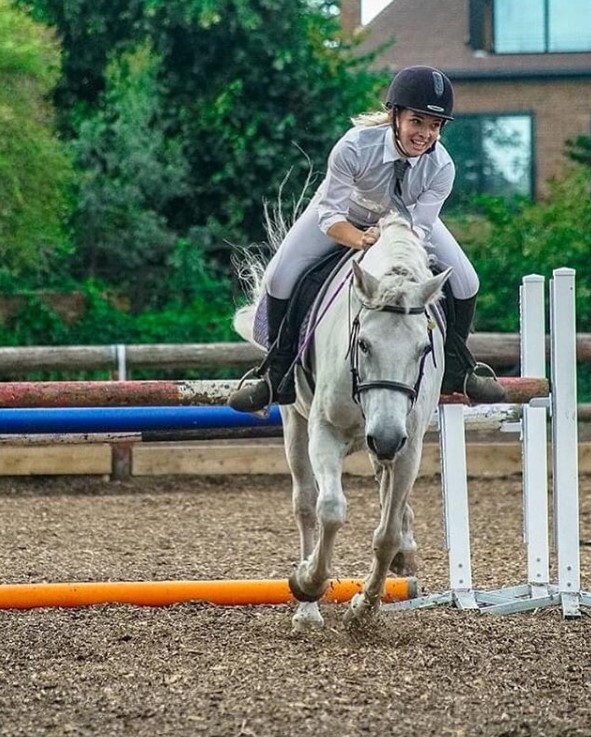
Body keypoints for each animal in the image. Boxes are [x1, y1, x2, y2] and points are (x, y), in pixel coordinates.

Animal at [232, 211, 450, 631]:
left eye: (423, 349)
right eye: (363, 343)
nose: (385, 438)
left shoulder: (408, 445)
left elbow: (386, 534)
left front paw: (364, 608)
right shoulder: (326, 432)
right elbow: (330, 509)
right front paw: (307, 583)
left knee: (388, 500)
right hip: (295, 423)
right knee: (305, 504)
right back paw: (307, 611)